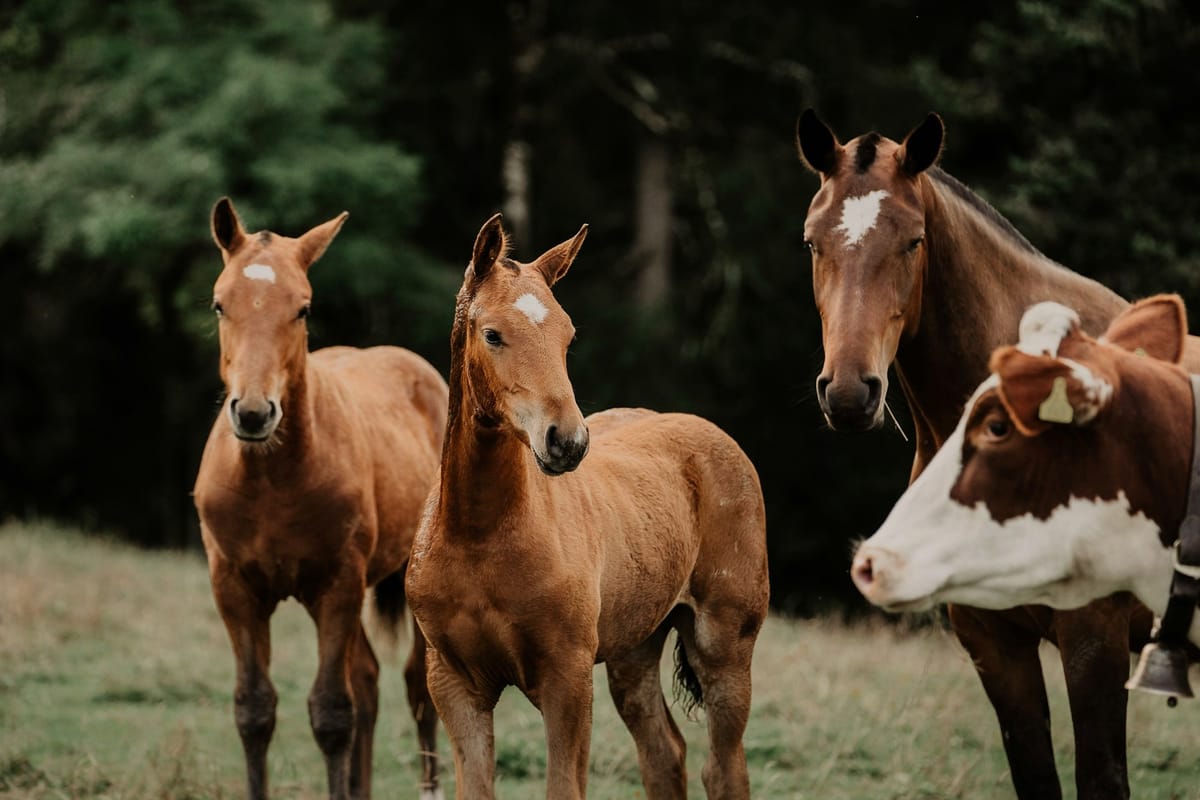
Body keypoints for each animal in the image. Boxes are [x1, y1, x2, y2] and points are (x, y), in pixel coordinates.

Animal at [193, 198, 449, 800]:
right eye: (219, 304)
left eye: (302, 309)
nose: (254, 413)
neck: (273, 479)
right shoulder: (233, 588)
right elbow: (254, 710)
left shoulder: (336, 583)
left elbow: (332, 712)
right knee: (369, 683)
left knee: (416, 689)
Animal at [405, 214, 770, 800]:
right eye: (492, 334)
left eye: (567, 335)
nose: (567, 442)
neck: (479, 535)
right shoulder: (455, 684)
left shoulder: (567, 678)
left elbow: (564, 787)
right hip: (633, 650)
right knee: (664, 755)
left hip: (725, 644)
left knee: (724, 768)